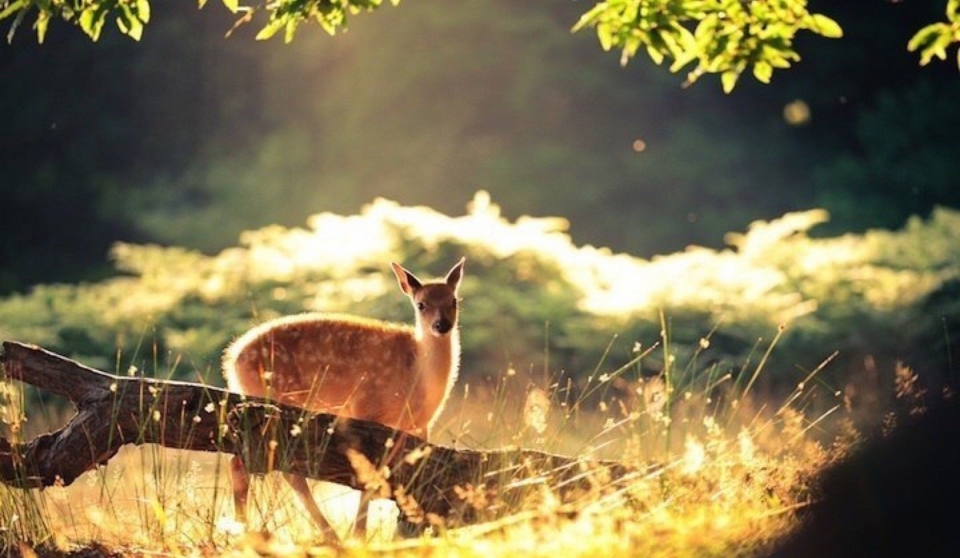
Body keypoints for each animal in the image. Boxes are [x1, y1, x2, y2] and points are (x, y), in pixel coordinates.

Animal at [225, 260, 464, 544]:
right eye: (421, 304)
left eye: (454, 300)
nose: (442, 325)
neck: (419, 376)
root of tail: (232, 360)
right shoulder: (366, 410)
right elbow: (367, 478)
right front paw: (359, 534)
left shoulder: (418, 427)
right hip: (276, 400)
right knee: (270, 468)